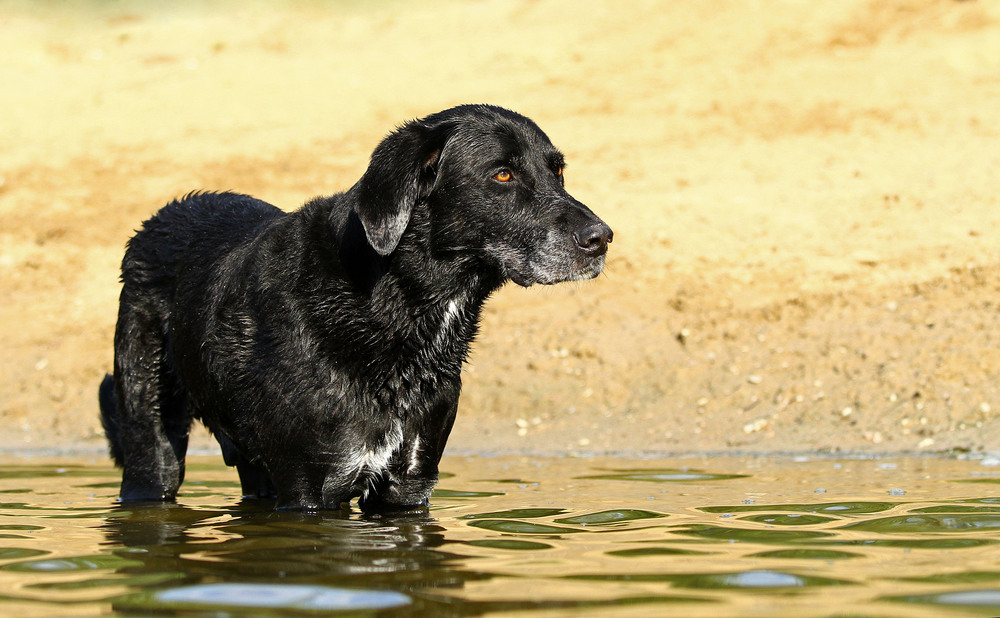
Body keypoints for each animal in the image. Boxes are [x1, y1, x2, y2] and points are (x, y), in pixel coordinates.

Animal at [99, 104, 608, 510]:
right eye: (503, 174)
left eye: (558, 172)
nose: (601, 238)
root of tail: (157, 218)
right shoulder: (309, 489)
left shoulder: (410, 483)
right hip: (152, 449)